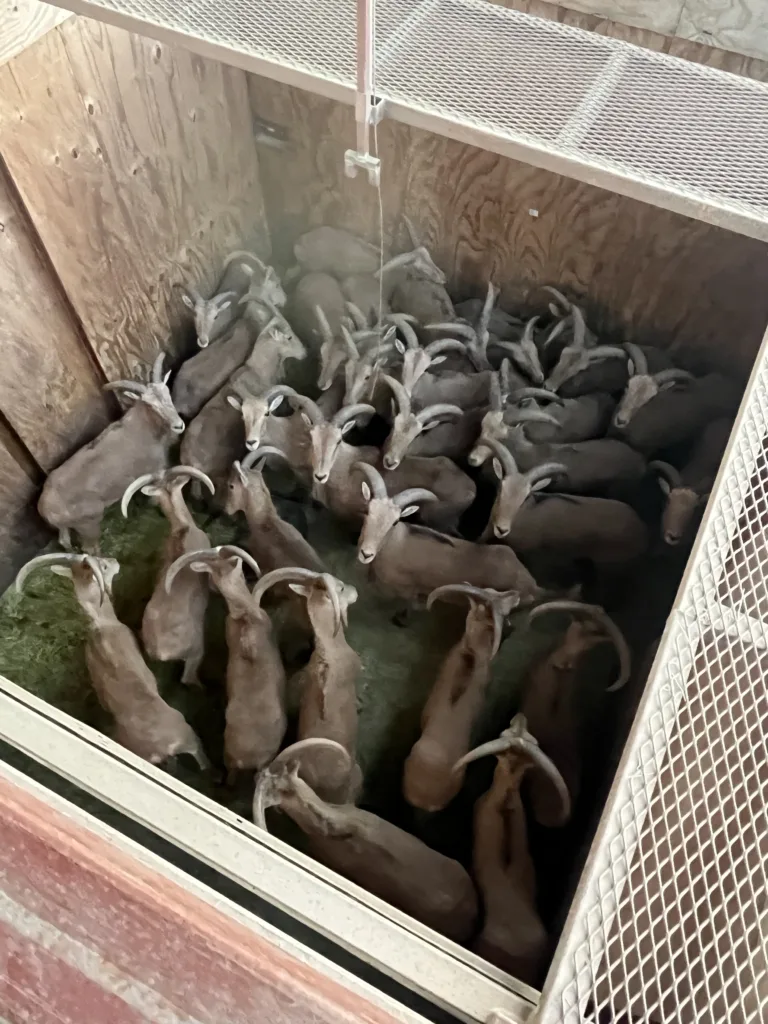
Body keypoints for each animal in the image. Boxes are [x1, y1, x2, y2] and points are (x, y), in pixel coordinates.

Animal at [38, 354, 184, 552]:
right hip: (88, 524)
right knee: (90, 549)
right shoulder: (156, 470)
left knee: (64, 541)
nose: (179, 425)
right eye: (150, 405)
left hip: (66, 527)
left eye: (167, 392)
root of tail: (44, 508)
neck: (144, 426)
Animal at [354, 463, 541, 604]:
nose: (366, 553)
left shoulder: (403, 591)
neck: (395, 545)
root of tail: (533, 585)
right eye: (368, 511)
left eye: (394, 522)